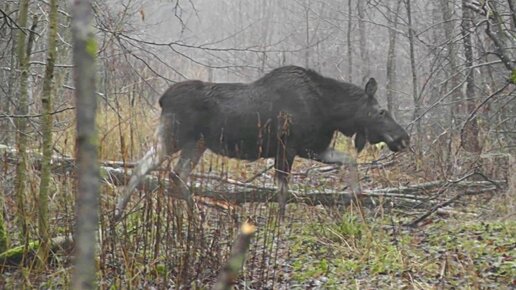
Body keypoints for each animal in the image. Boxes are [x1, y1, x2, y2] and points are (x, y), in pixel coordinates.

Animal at [115, 66, 410, 220]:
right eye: (381, 112)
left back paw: (193, 213)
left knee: (176, 173)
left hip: (195, 144)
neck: (332, 112)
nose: (404, 138)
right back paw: (121, 211)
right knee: (143, 166)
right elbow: (282, 187)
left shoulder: (312, 147)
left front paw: (357, 196)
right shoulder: (288, 147)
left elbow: (349, 160)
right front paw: (280, 219)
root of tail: (162, 99)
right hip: (175, 136)